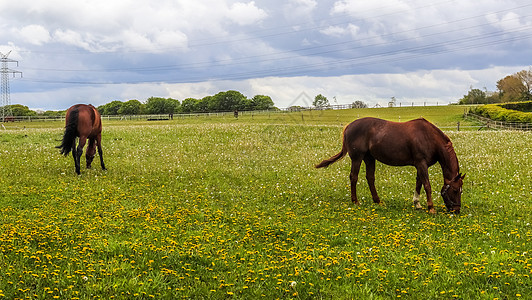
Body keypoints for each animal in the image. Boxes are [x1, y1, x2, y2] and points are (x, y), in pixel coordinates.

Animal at [318, 117, 464, 213]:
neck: (429, 137)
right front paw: (431, 208)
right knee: (354, 177)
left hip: (369, 158)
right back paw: (355, 201)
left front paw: (417, 204)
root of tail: (349, 126)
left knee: (370, 178)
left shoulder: (421, 165)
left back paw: (377, 200)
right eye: (455, 190)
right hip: (357, 158)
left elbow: (419, 183)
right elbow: (427, 185)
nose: (456, 210)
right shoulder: (421, 163)